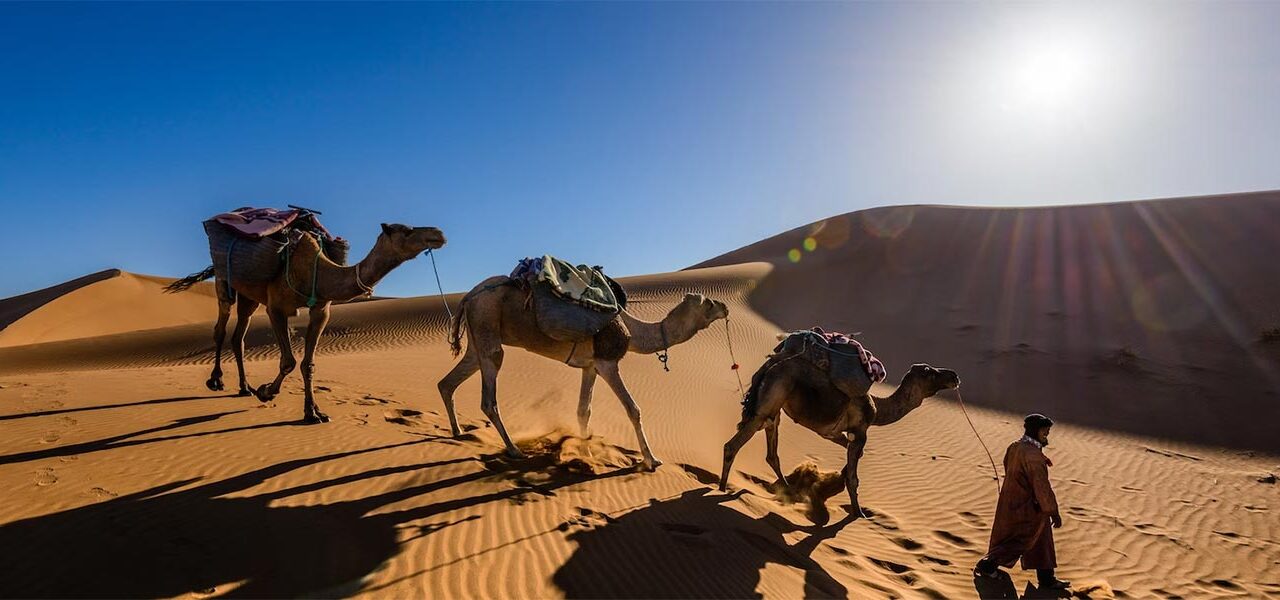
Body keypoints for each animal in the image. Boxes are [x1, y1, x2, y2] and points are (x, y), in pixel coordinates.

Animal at [166, 222, 445, 422]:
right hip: (225, 282)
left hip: (249, 297)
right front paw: (267, 392)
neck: (316, 271)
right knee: (220, 329)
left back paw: (245, 387)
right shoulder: (276, 308)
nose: (438, 233)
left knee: (239, 337)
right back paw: (216, 380)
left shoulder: (321, 310)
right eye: (406, 230)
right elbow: (288, 360)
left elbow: (308, 364)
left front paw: (313, 412)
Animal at [440, 273, 727, 470]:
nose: (725, 307)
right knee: (489, 396)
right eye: (708, 303)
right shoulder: (607, 362)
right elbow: (633, 409)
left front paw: (585, 453)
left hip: (477, 339)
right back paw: (513, 450)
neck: (632, 330)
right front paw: (651, 460)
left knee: (448, 382)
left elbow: (583, 410)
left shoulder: (590, 366)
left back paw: (458, 432)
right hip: (487, 323)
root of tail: (468, 296)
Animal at [716, 355, 957, 519]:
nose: (954, 376)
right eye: (930, 372)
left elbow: (852, 460)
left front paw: (834, 484)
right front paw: (859, 513)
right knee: (733, 445)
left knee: (771, 453)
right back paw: (721, 489)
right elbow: (854, 476)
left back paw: (789, 491)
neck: (877, 410)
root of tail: (769, 368)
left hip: (774, 410)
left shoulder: (833, 433)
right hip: (768, 404)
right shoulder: (860, 433)